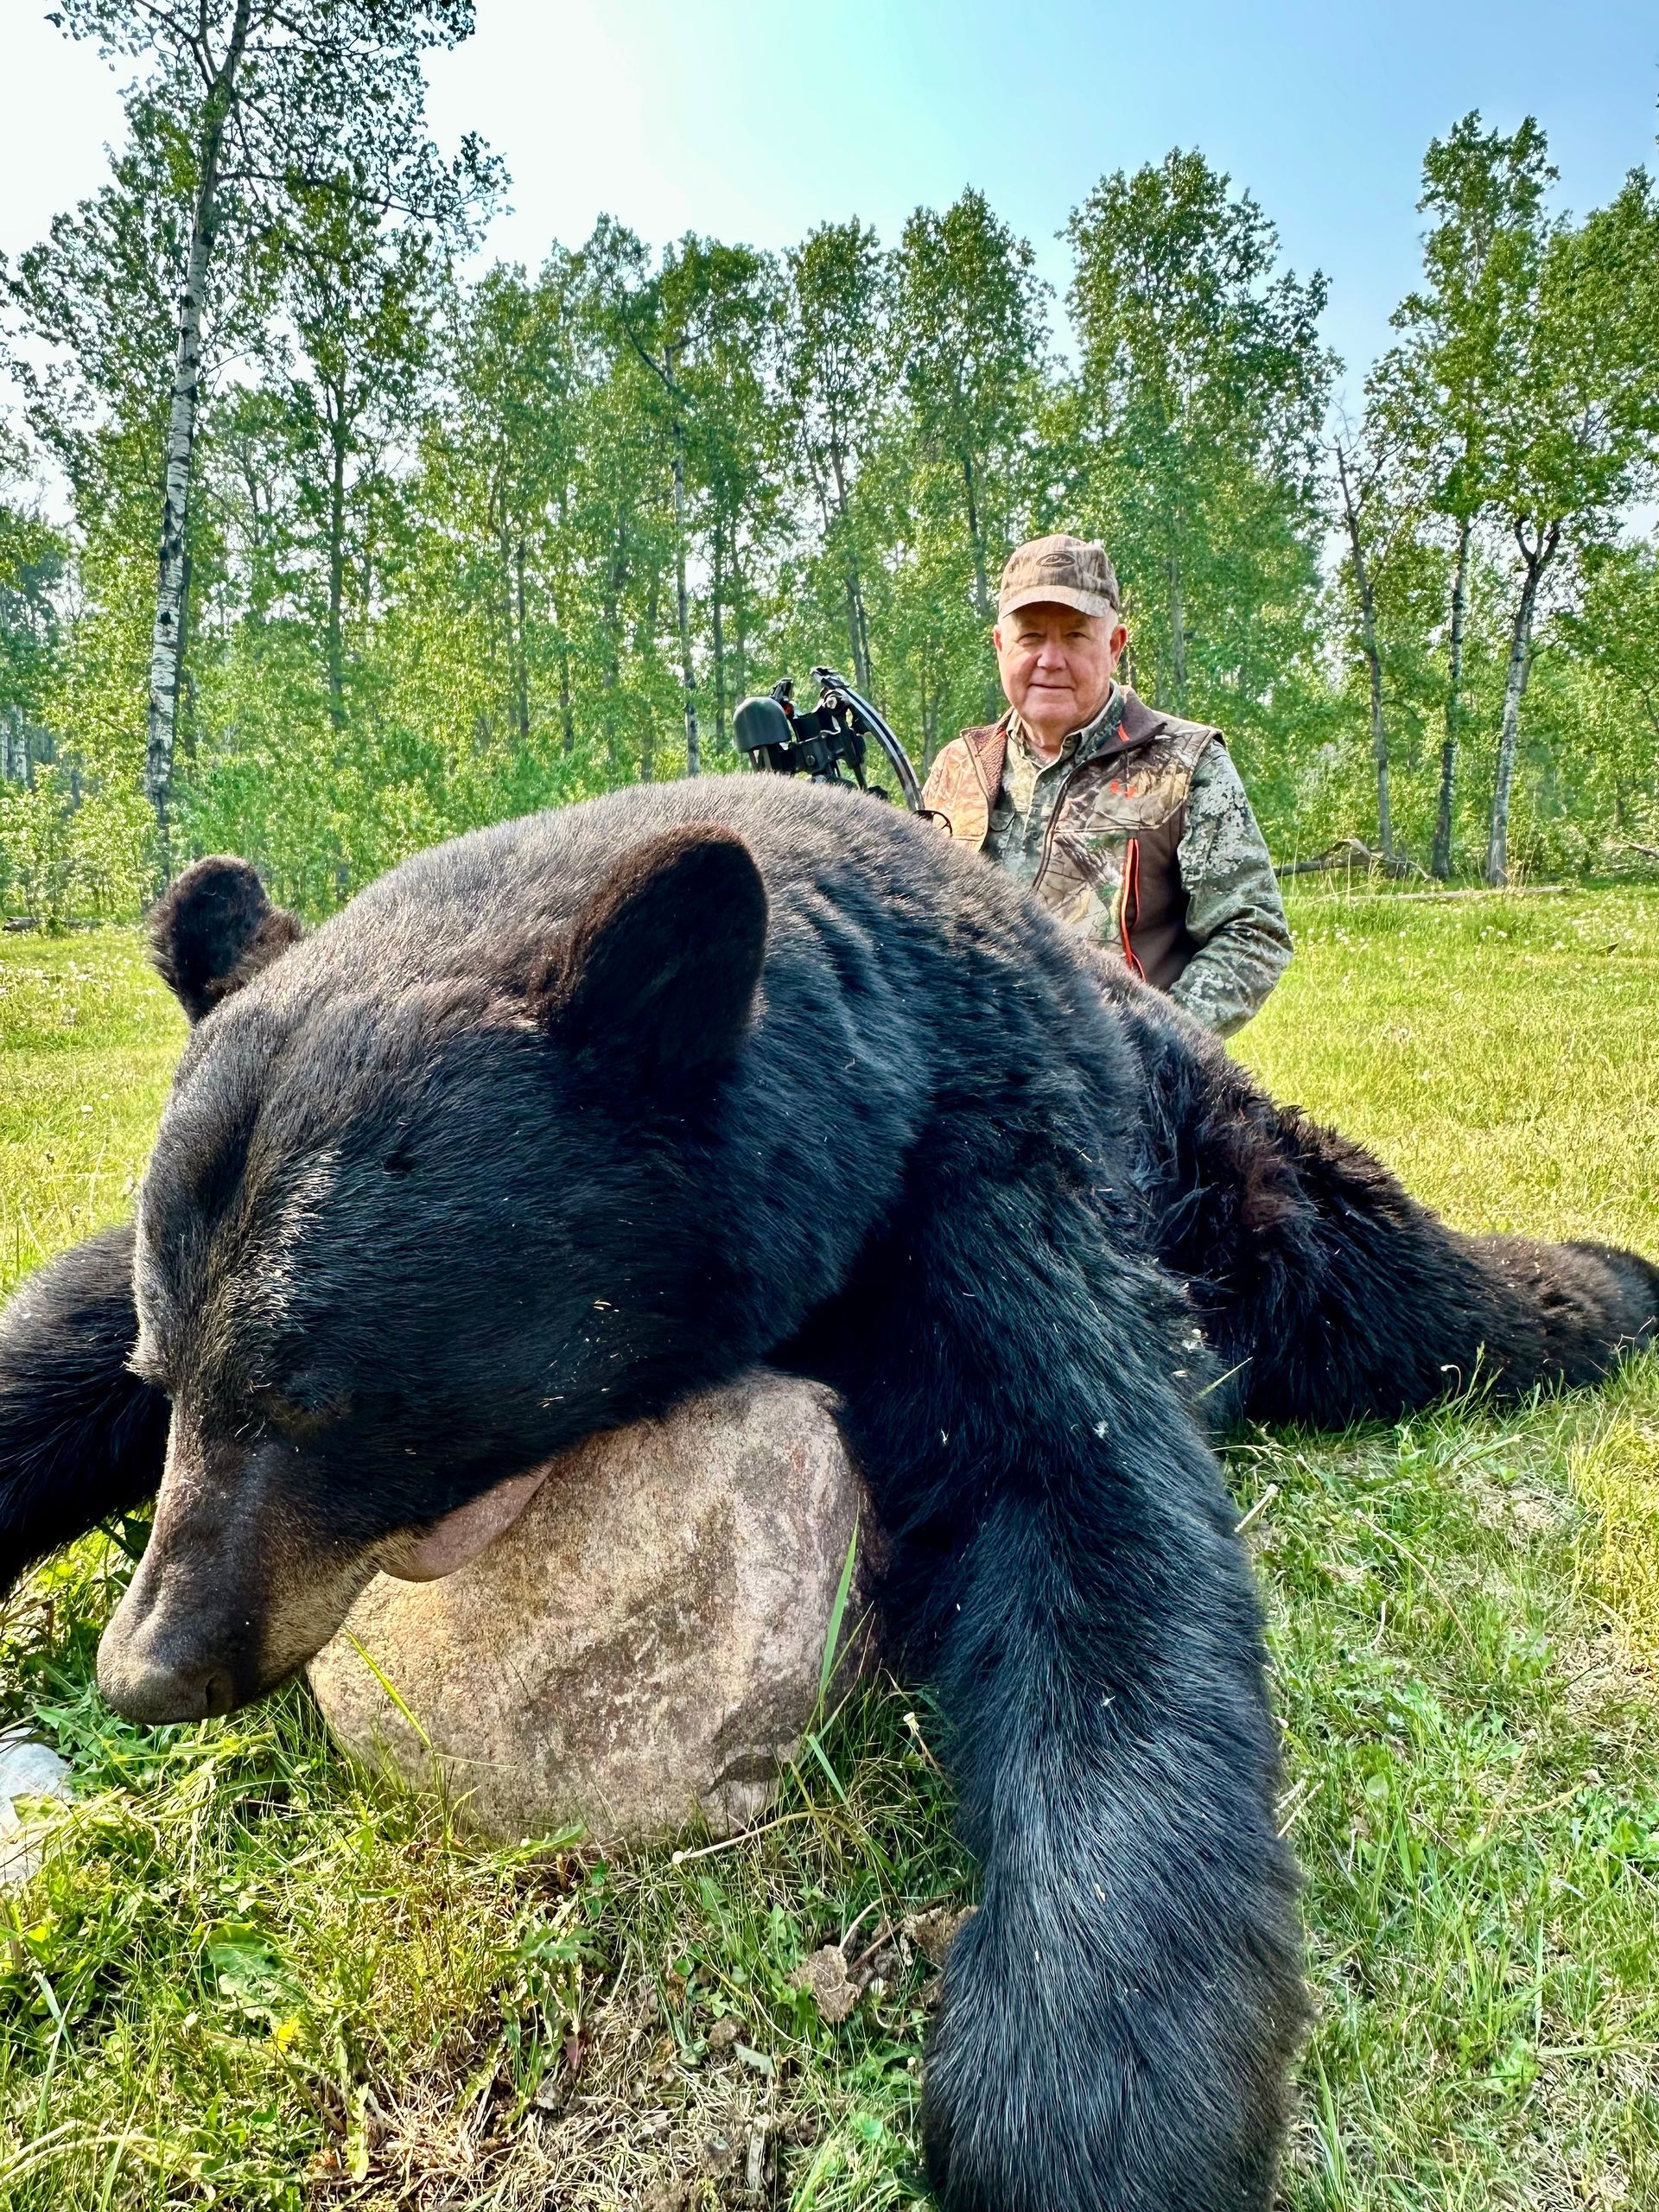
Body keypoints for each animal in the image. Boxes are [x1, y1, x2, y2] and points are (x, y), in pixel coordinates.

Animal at [0, 777, 1653, 2212]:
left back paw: (1605, 1282)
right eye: (173, 1375)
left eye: (325, 1404)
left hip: (1229, 1183)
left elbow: (1094, 1523)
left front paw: (1087, 2101)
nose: (151, 1665)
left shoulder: (976, 1171)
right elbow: (55, 1327)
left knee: (1385, 1278)